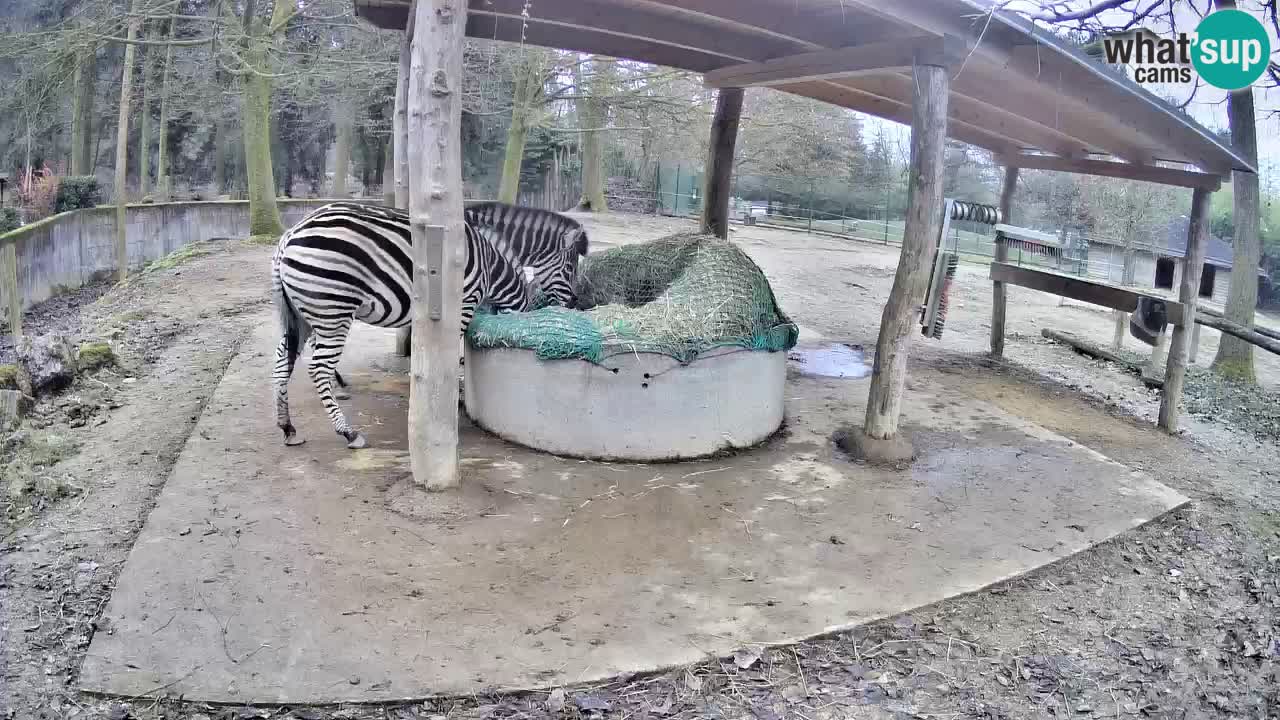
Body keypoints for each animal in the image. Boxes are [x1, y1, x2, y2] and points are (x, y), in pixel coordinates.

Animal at [272, 202, 580, 450]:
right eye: (569, 269)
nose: (576, 302)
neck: (492, 265)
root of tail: (288, 235)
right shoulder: (464, 304)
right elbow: (452, 354)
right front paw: (452, 395)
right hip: (332, 311)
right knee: (318, 368)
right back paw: (348, 432)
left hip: (302, 315)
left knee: (281, 363)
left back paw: (288, 427)